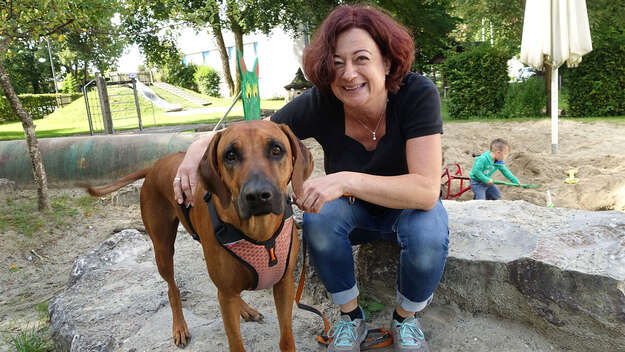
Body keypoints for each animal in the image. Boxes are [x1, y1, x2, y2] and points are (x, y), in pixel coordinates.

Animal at [84, 120, 312, 350]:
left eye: (276, 150)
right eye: (230, 155)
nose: (257, 195)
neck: (261, 233)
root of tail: (155, 165)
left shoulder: (284, 284)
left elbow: (286, 337)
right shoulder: (228, 294)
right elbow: (235, 342)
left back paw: (244, 308)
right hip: (163, 249)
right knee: (173, 289)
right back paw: (179, 327)